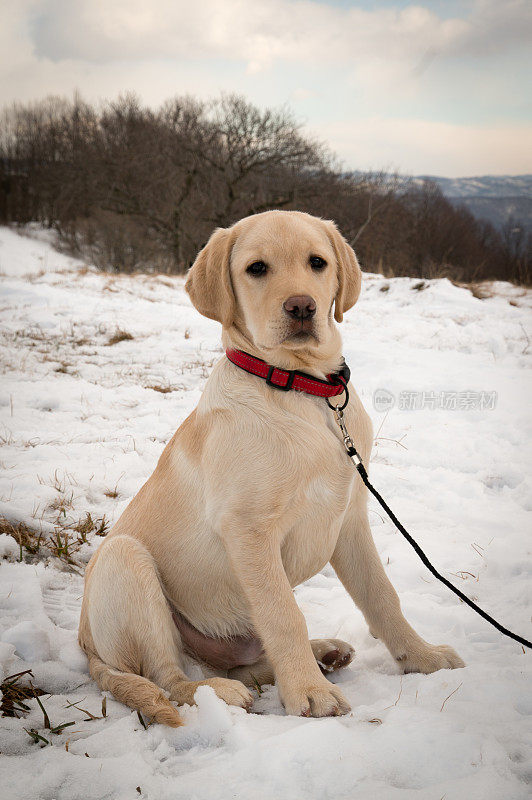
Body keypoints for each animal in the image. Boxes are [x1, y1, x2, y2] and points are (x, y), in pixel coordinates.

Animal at [77, 208, 464, 724]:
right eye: (256, 269)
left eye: (317, 262)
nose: (301, 307)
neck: (303, 389)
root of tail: (87, 650)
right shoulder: (249, 530)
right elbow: (284, 614)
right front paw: (310, 692)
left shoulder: (350, 519)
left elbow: (383, 597)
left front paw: (421, 658)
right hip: (124, 561)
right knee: (168, 676)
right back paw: (223, 691)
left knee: (247, 663)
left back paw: (323, 652)